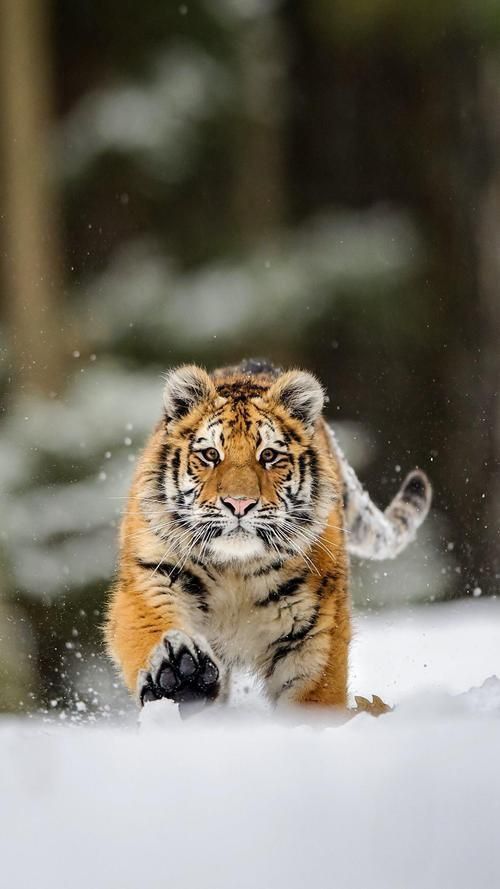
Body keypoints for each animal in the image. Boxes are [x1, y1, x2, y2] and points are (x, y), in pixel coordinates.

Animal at [104, 359, 432, 713]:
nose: (239, 503)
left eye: (269, 456)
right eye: (210, 455)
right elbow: (151, 625)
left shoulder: (313, 633)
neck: (234, 571)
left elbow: (314, 702)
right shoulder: (150, 576)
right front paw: (180, 674)